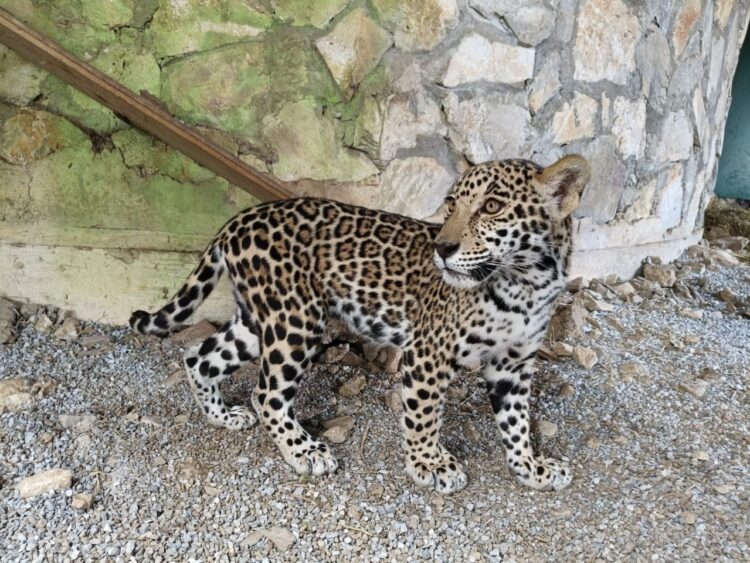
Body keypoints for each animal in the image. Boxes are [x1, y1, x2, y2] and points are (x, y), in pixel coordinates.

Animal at [129, 155, 591, 494]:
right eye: (451, 204)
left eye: (492, 207)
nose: (442, 247)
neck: (526, 284)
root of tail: (239, 220)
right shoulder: (428, 352)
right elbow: (425, 414)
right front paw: (429, 464)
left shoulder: (513, 364)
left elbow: (516, 422)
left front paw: (531, 467)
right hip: (296, 321)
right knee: (267, 393)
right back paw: (304, 451)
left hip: (259, 321)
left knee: (200, 357)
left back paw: (222, 416)